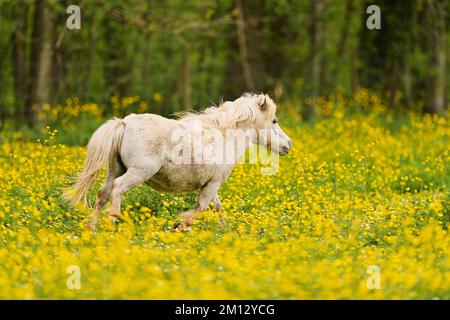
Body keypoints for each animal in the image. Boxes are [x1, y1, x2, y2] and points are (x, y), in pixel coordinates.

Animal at [65, 93, 294, 230]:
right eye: (274, 120)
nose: (288, 145)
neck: (223, 137)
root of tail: (123, 123)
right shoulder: (213, 184)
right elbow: (201, 208)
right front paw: (181, 225)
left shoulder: (211, 184)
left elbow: (217, 207)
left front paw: (224, 231)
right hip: (138, 172)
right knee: (116, 189)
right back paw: (112, 221)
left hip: (115, 169)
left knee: (102, 194)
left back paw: (91, 229)